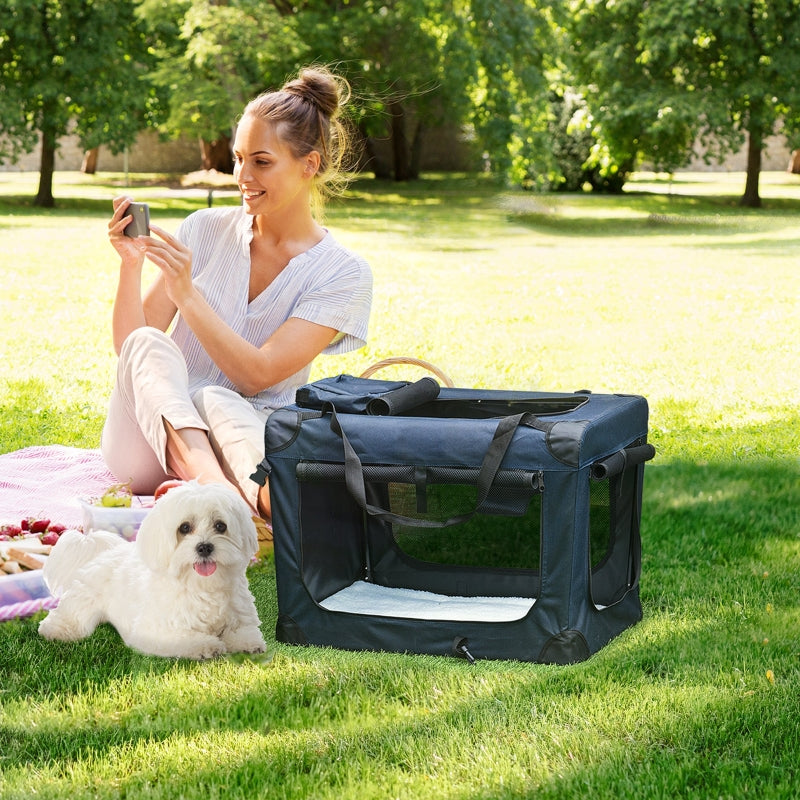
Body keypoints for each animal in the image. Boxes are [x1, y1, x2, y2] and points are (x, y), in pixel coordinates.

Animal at [39, 482, 266, 656]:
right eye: (184, 528)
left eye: (220, 526)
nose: (204, 547)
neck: (201, 586)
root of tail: (99, 550)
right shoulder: (153, 630)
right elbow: (186, 638)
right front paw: (207, 645)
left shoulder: (241, 615)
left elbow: (244, 631)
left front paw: (247, 643)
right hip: (83, 605)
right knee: (72, 618)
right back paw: (56, 630)